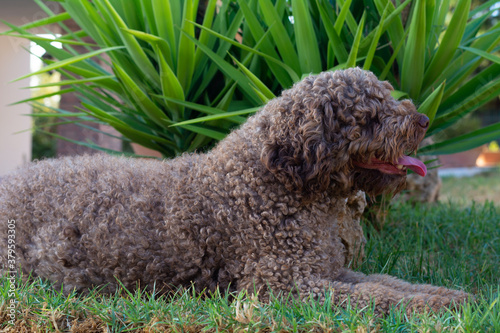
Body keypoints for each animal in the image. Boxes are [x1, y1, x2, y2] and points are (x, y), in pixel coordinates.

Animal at [0, 68, 468, 314]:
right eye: (369, 116)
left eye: (389, 98)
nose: (423, 120)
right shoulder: (283, 285)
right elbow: (378, 295)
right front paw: (437, 307)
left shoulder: (329, 270)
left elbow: (389, 283)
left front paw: (447, 294)